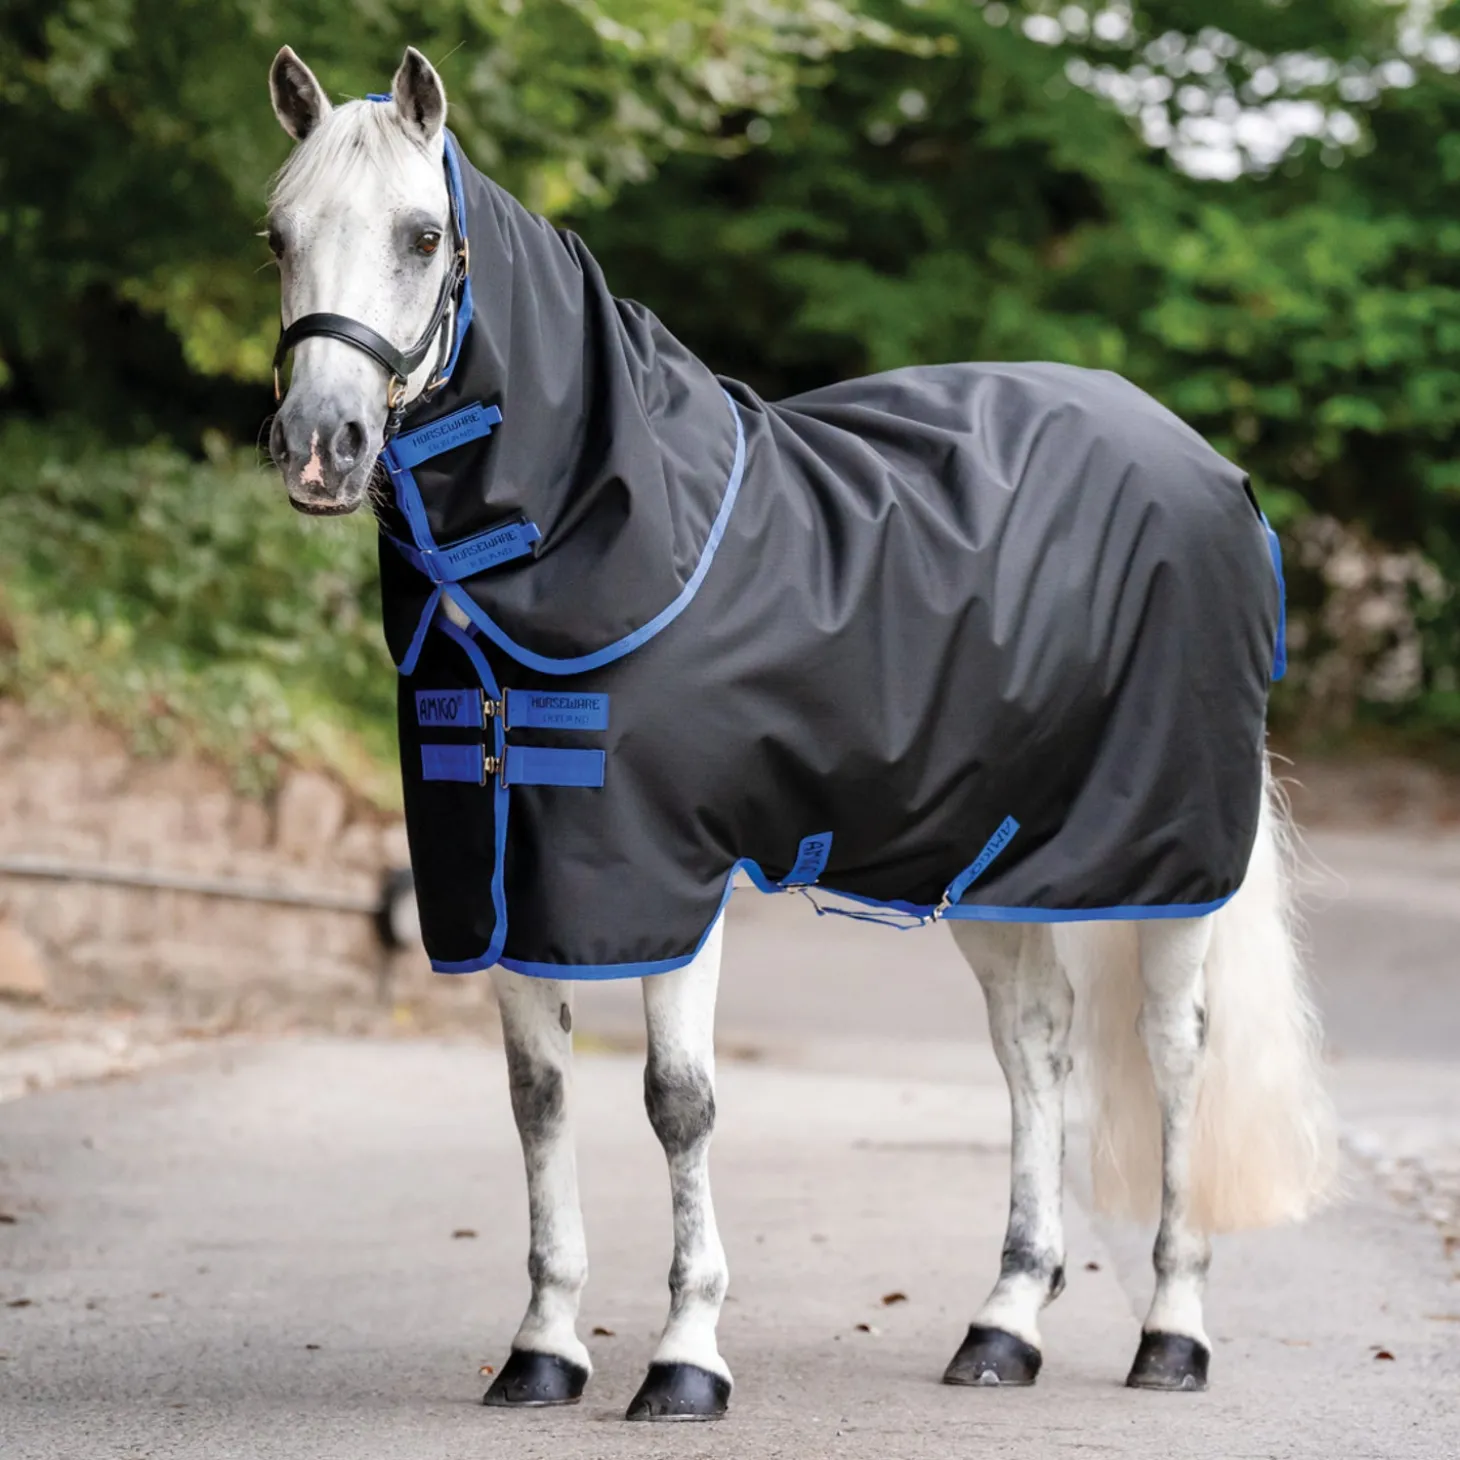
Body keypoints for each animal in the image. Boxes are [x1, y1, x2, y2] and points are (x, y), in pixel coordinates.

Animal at [263, 45, 1336, 1423]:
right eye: (276, 233)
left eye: (420, 234)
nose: (320, 446)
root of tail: (1215, 474)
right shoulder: (503, 876)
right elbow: (537, 1099)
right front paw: (543, 1346)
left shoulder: (669, 876)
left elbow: (677, 1101)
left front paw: (685, 1356)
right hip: (990, 859)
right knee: (1033, 1047)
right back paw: (1002, 1324)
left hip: (1169, 861)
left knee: (1177, 1053)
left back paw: (1171, 1330)